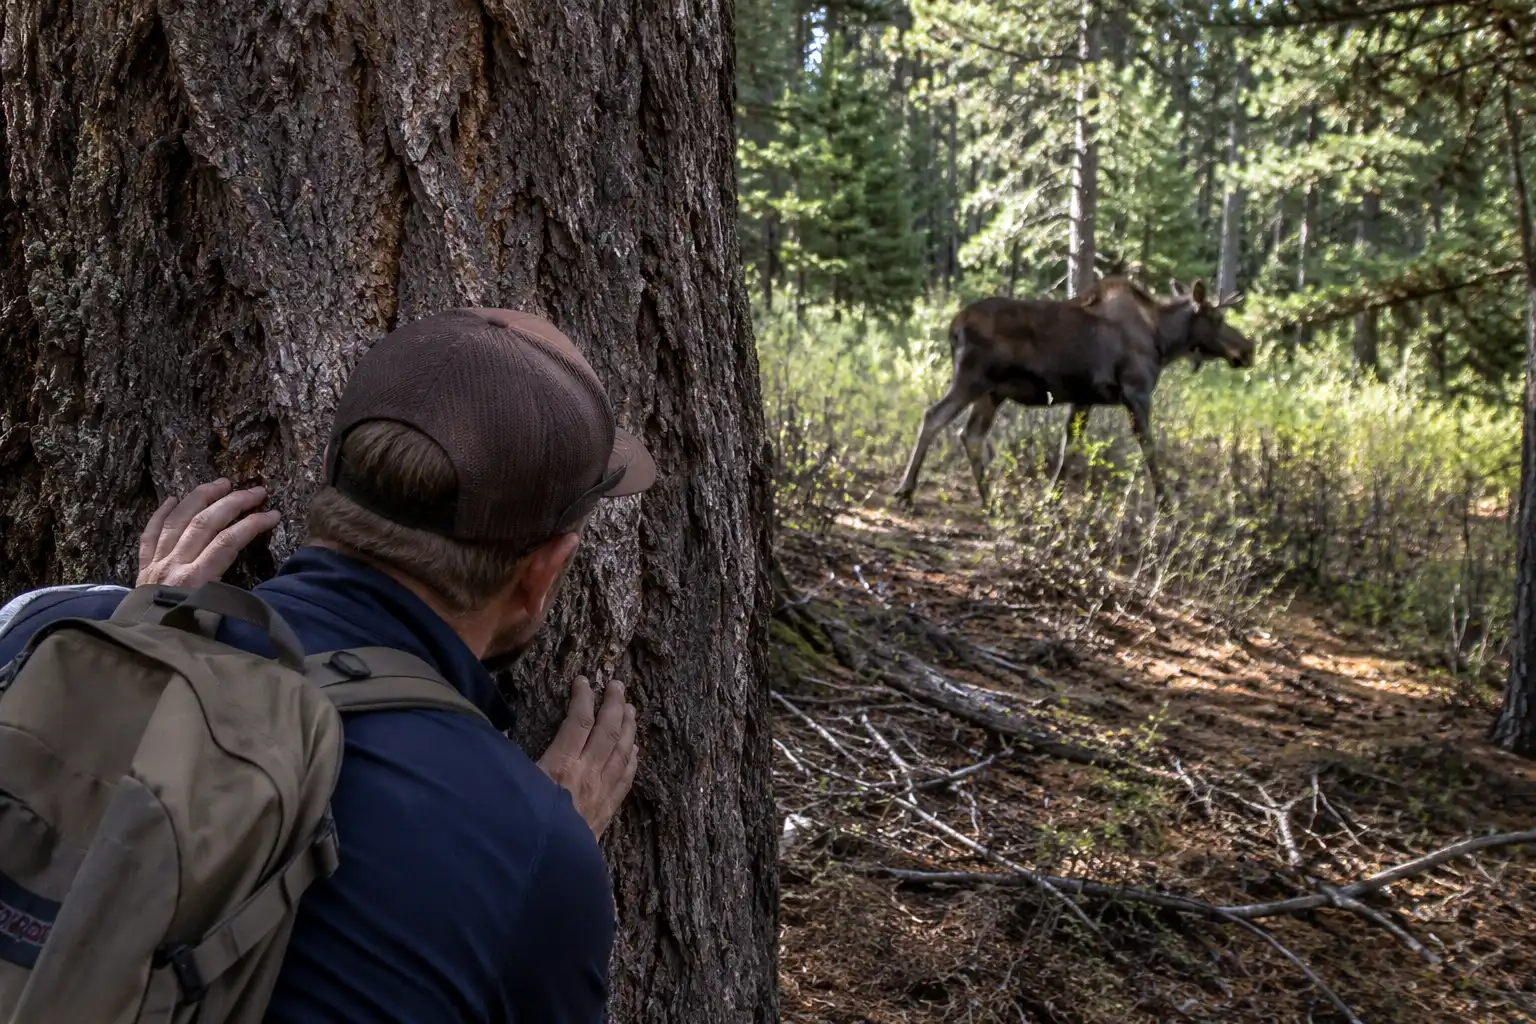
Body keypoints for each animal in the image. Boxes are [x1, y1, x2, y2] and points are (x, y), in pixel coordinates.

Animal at [893, 277, 1254, 505]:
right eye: (1218, 318)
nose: (1247, 349)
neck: (1163, 341)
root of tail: (953, 327)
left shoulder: (1083, 399)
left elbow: (1069, 448)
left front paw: (1050, 499)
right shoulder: (1136, 392)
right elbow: (1149, 448)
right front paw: (1165, 503)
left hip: (992, 393)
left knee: (970, 435)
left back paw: (990, 500)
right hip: (972, 379)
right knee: (934, 416)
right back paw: (906, 490)